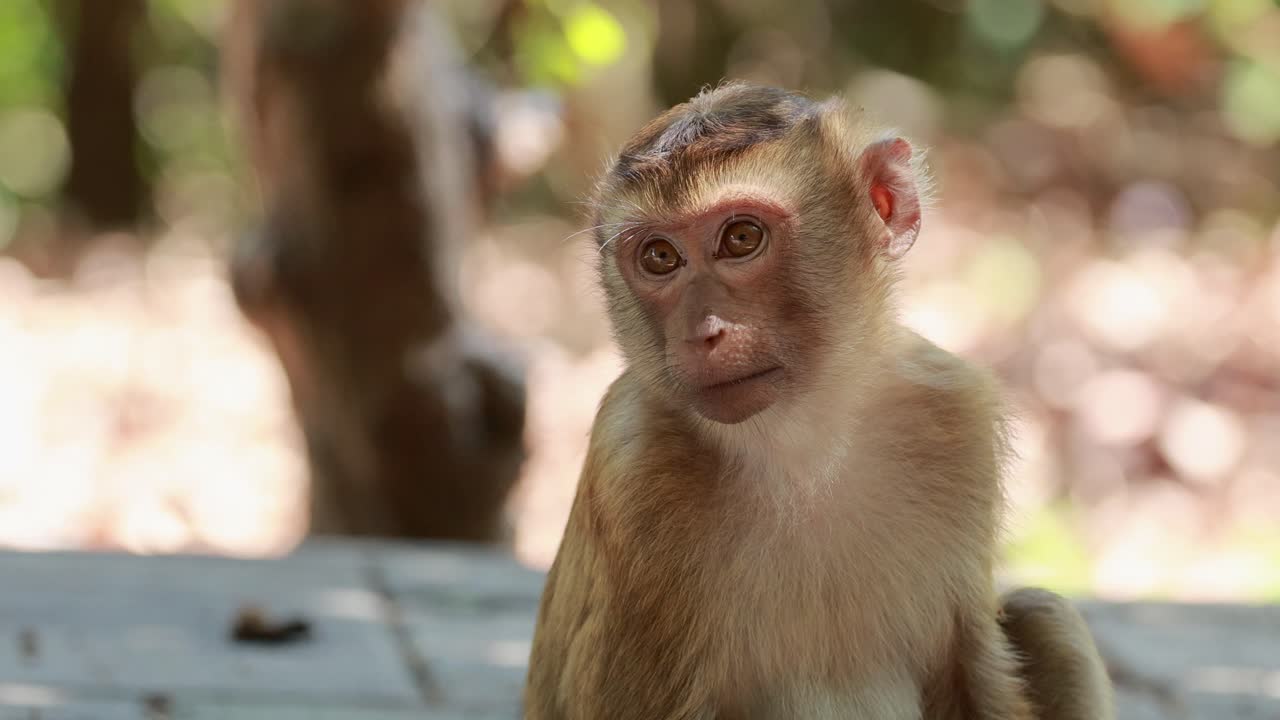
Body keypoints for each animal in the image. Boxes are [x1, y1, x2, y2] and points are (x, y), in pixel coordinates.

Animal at [524, 82, 1113, 719]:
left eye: (741, 238)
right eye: (660, 256)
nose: (701, 332)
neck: (803, 443)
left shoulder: (958, 416)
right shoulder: (632, 463)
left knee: (1045, 615)